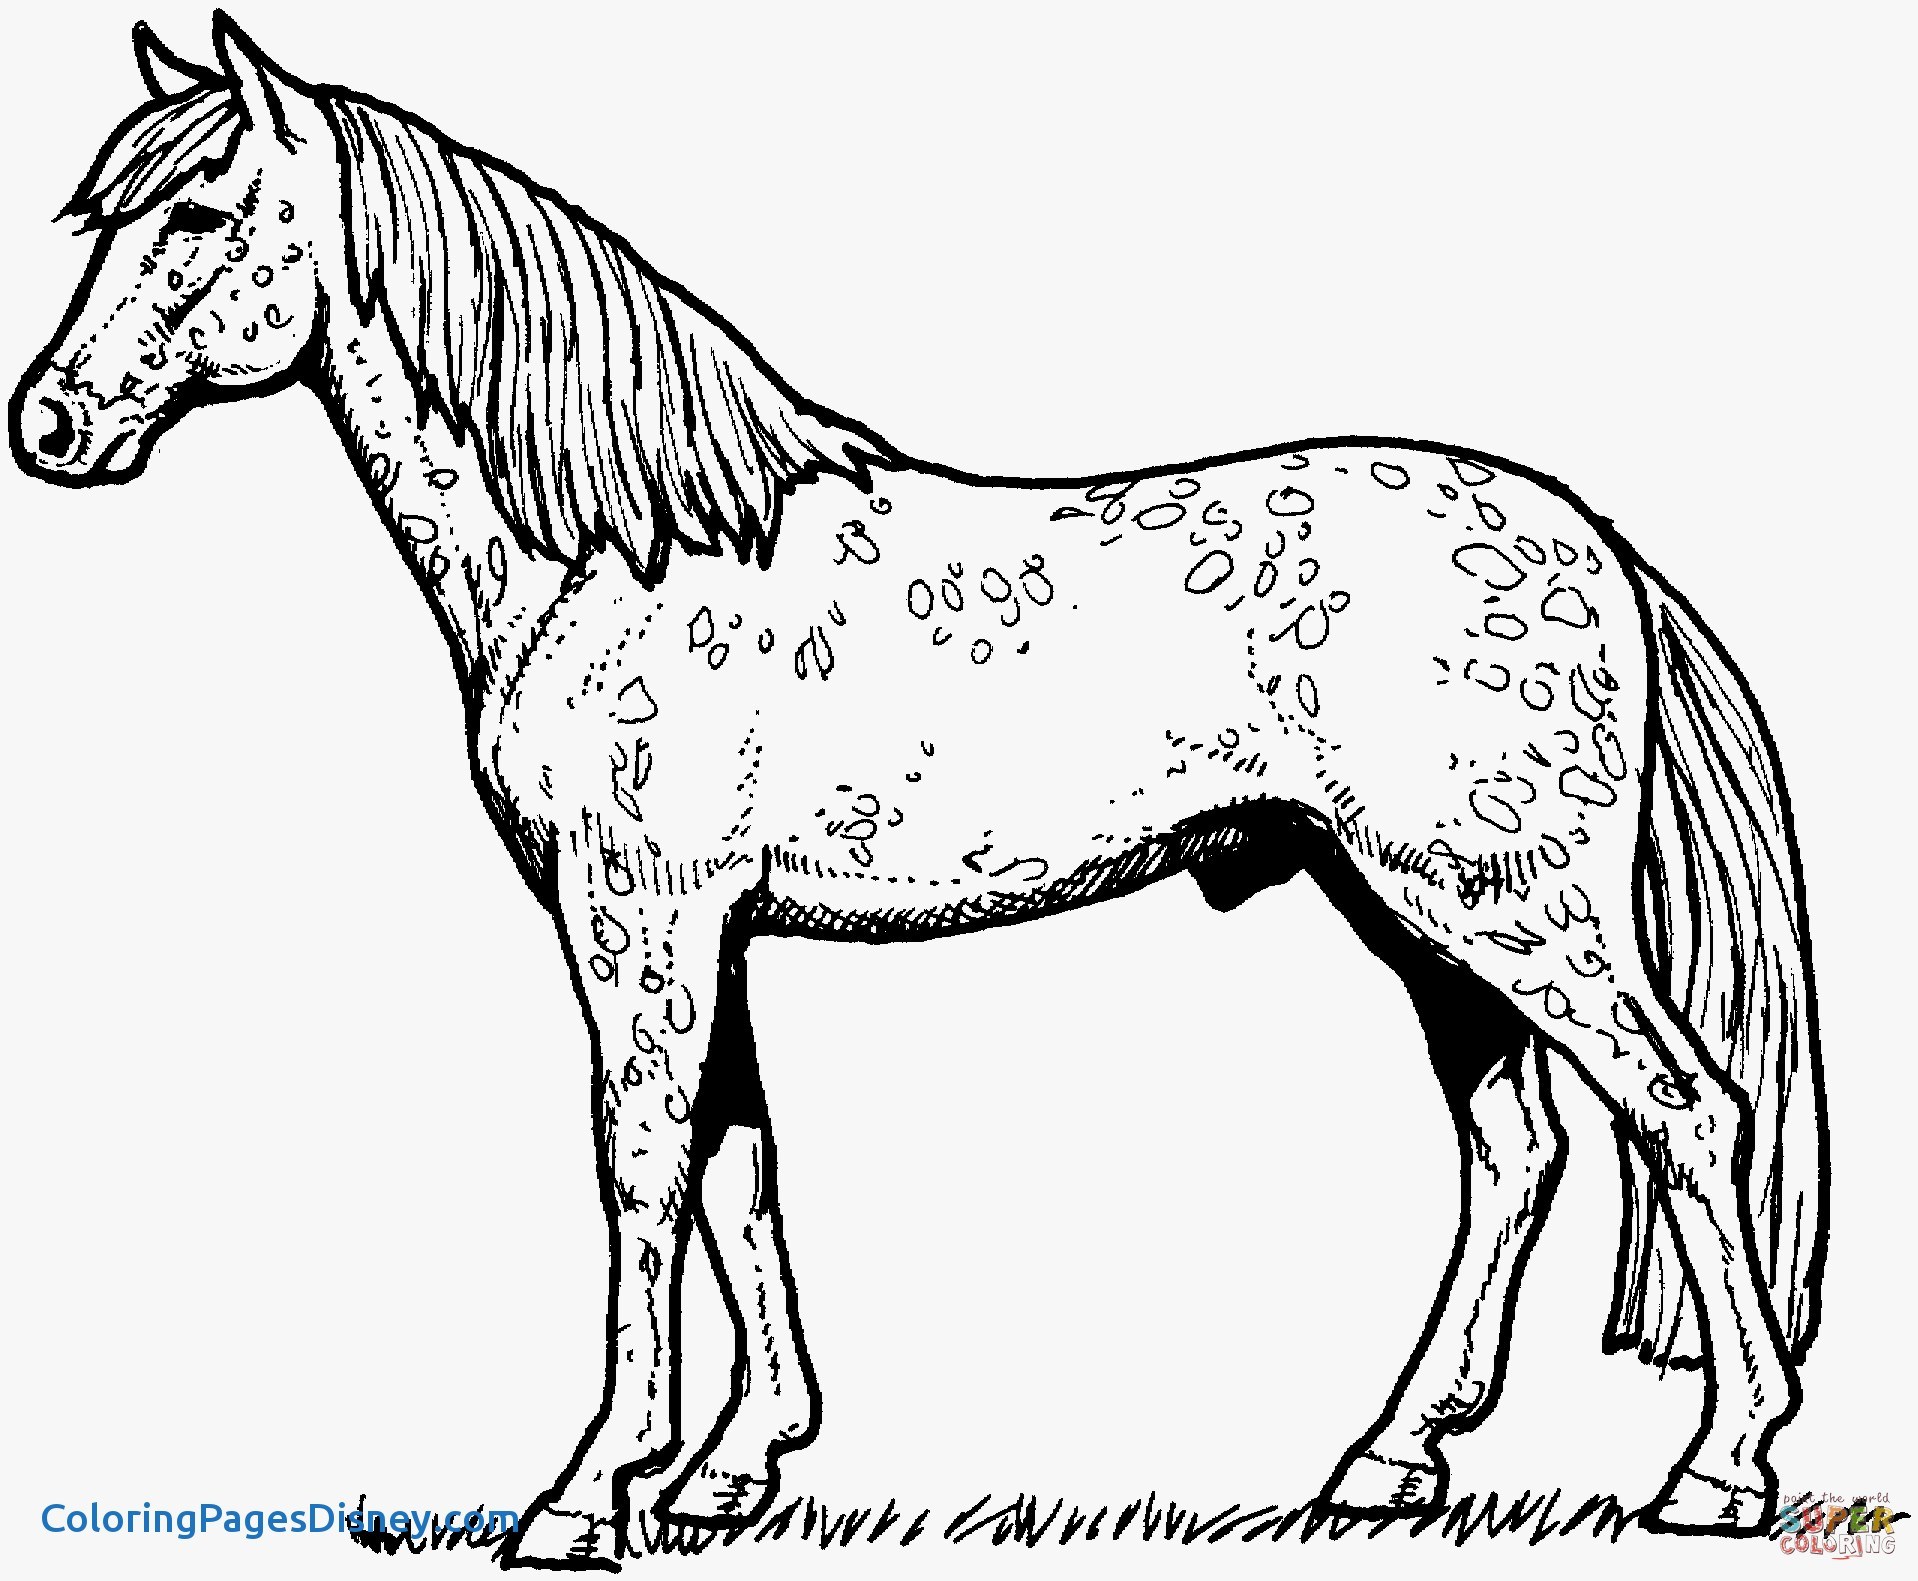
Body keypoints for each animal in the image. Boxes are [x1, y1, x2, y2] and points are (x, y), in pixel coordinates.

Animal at [11, 16, 1827, 1562]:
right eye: (103, 209)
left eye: (204, 207)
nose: (52, 425)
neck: (620, 554)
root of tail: (1595, 549)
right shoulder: (710, 929)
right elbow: (735, 1162)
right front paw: (729, 1468)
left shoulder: (638, 917)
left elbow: (642, 1165)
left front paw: (592, 1492)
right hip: (1411, 911)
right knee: (1513, 1150)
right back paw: (1388, 1459)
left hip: (1504, 902)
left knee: (1684, 1114)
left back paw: (1719, 1467)